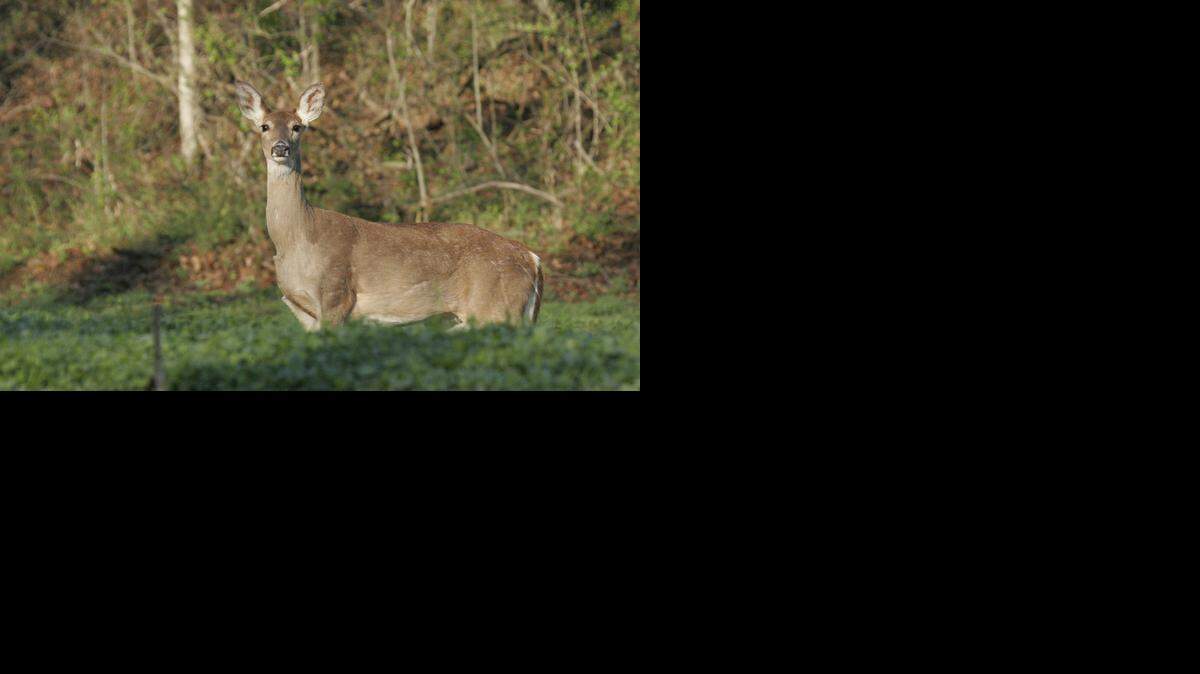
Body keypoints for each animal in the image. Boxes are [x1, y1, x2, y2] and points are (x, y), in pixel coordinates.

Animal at [234, 80, 543, 331]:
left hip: (496, 307)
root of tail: (532, 258)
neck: (297, 239)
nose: (280, 148)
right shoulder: (304, 313)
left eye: (297, 127)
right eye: (264, 126)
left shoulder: (336, 296)